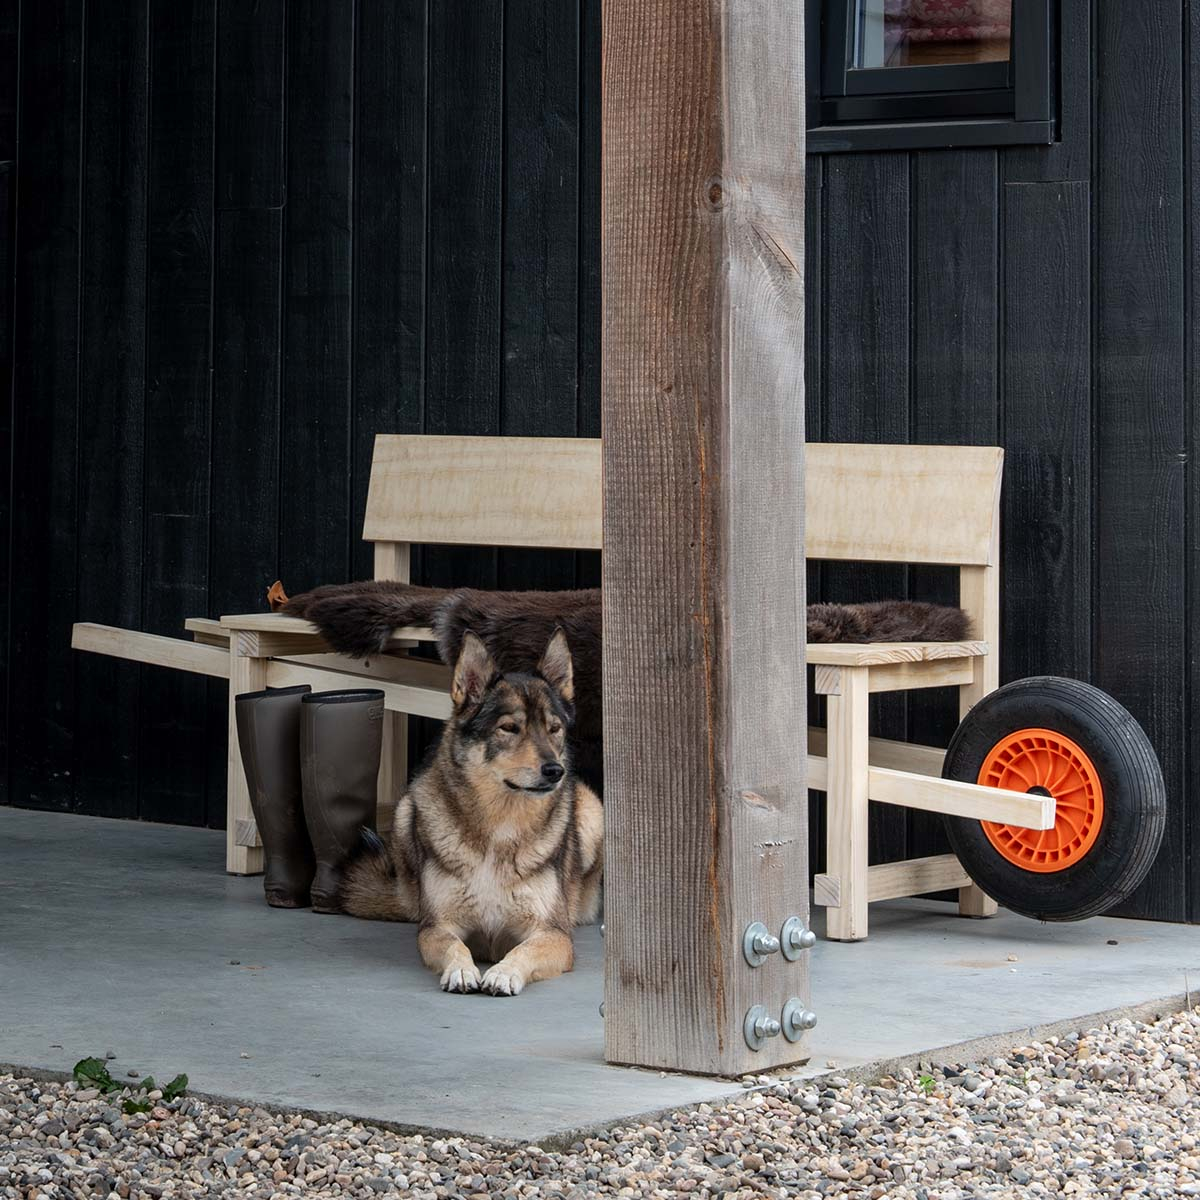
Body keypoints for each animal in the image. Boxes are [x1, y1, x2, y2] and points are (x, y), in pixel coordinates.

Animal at [338, 628, 600, 993]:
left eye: (554, 729)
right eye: (509, 728)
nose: (555, 771)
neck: (499, 825)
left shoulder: (554, 934)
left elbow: (524, 950)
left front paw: (504, 972)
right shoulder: (436, 927)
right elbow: (454, 946)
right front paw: (461, 970)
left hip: (592, 812)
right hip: (405, 811)